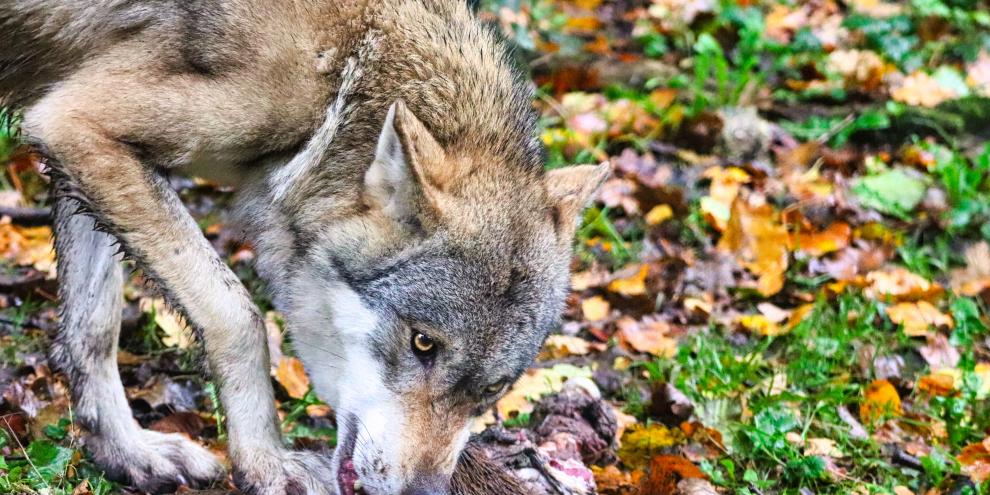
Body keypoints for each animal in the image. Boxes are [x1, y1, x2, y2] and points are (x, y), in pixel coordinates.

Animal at [0, 1, 607, 494]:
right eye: (423, 344)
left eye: (494, 388)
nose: (425, 494)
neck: (344, 76)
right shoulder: (76, 123)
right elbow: (238, 317)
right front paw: (266, 464)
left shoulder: (75, 139)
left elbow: (92, 329)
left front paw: (126, 455)